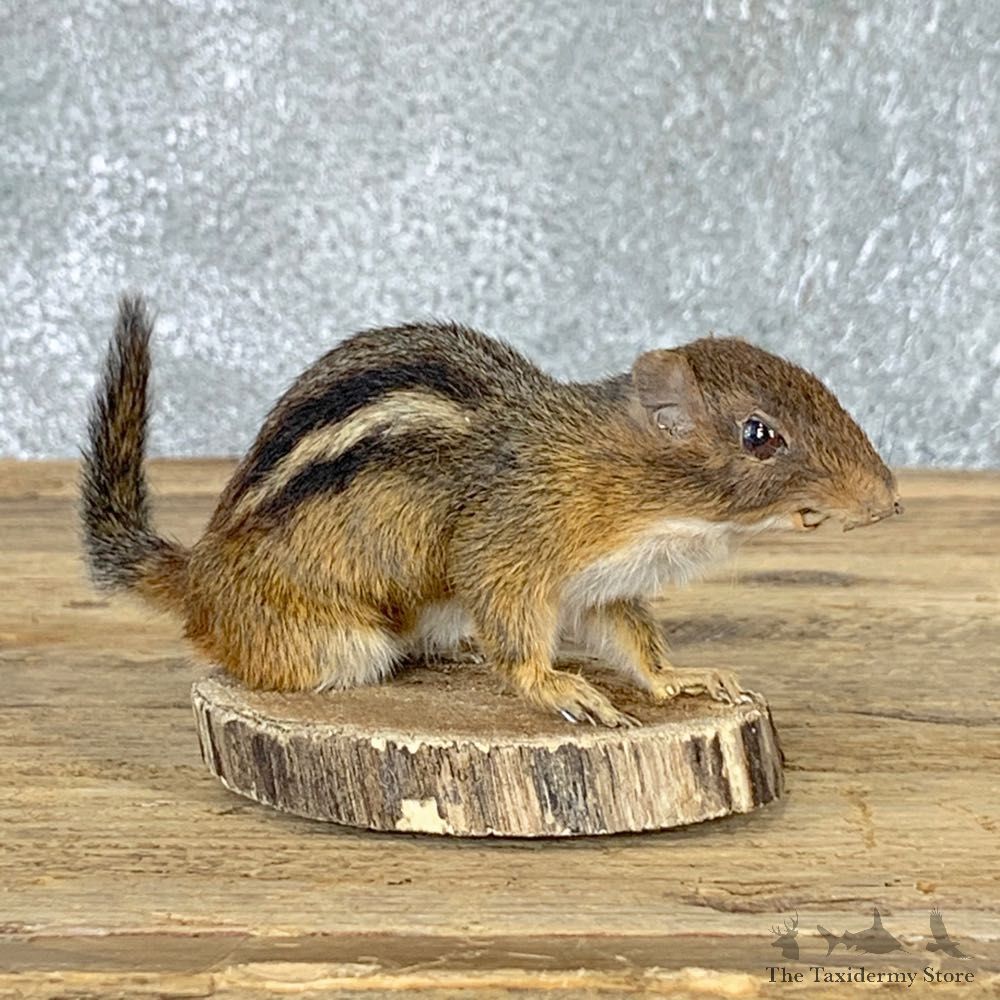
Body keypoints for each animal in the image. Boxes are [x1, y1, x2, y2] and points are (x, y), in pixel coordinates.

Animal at [81, 295, 901, 728]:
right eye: (759, 434)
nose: (890, 500)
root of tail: (200, 575)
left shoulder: (603, 585)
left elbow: (634, 641)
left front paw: (680, 680)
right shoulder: (512, 549)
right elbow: (516, 626)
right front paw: (559, 687)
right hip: (331, 639)